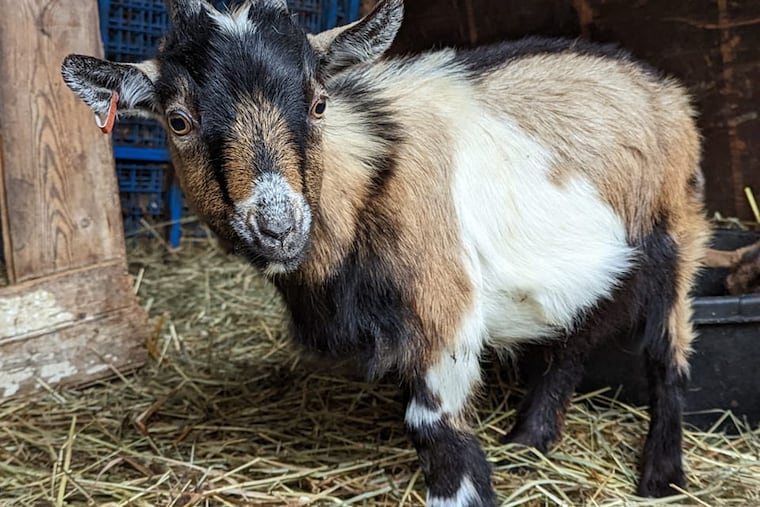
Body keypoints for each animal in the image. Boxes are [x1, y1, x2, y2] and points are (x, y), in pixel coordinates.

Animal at [62, 0, 710, 504]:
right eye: (178, 121)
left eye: (319, 102)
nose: (278, 226)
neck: (362, 182)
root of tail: (661, 85)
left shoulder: (445, 309)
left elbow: (434, 430)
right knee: (567, 348)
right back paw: (528, 444)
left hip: (678, 235)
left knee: (666, 355)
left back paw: (660, 477)